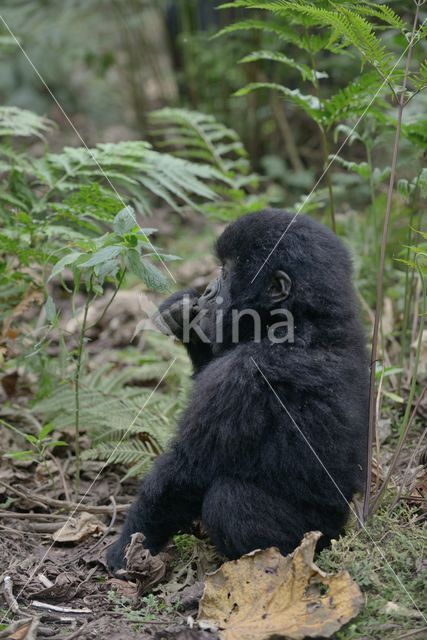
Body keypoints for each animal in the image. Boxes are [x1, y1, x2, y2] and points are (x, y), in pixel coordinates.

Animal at [106, 208, 368, 572]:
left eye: (227, 273)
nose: (207, 291)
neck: (302, 317)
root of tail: (343, 524)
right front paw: (183, 317)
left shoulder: (244, 375)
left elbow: (187, 471)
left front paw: (127, 549)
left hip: (318, 533)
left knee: (230, 499)